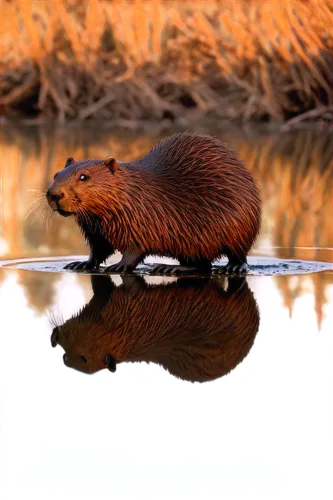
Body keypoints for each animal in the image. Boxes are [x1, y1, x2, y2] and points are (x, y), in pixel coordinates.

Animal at [45, 131, 260, 276]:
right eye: (56, 174)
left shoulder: (141, 220)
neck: (132, 193)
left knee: (236, 256)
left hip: (240, 226)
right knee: (202, 263)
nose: (54, 194)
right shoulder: (96, 229)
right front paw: (80, 264)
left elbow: (135, 249)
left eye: (84, 176)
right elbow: (99, 250)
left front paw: (117, 265)